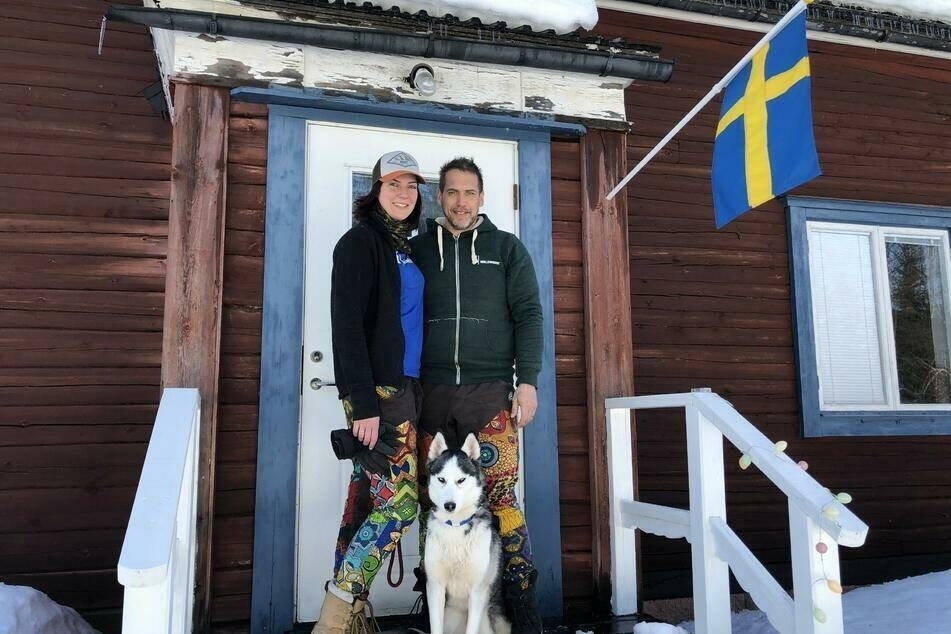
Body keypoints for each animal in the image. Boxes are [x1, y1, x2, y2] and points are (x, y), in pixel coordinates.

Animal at [426, 430, 512, 632]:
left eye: (461, 480)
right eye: (441, 479)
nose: (449, 505)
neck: (455, 525)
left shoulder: (478, 591)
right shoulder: (435, 587)